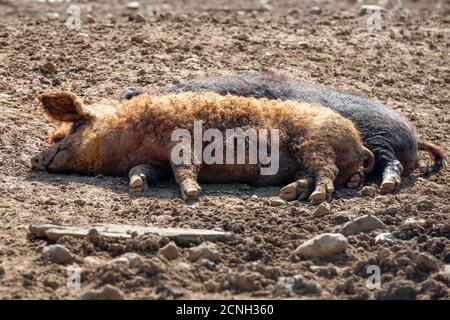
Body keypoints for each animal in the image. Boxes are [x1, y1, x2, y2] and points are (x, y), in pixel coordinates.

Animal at [31, 91, 374, 204]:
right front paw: (137, 186)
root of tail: (359, 145)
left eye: (69, 131)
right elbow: (141, 170)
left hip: (316, 143)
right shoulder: (153, 161)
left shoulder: (181, 142)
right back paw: (289, 193)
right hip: (309, 156)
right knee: (311, 176)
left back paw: (316, 198)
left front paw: (192, 194)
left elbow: (185, 167)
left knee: (325, 172)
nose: (34, 160)